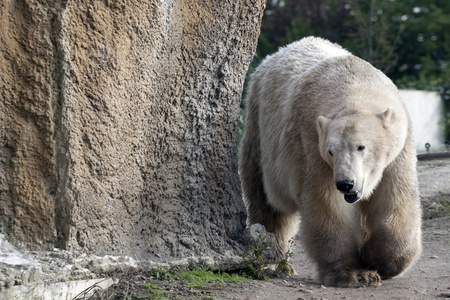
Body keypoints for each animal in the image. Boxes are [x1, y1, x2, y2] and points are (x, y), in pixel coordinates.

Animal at [239, 37, 422, 286]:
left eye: (361, 146)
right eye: (331, 151)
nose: (346, 184)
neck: (354, 85)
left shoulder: (398, 152)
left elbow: (395, 198)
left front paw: (376, 258)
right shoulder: (311, 145)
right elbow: (326, 203)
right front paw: (355, 273)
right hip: (259, 128)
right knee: (267, 203)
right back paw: (273, 262)